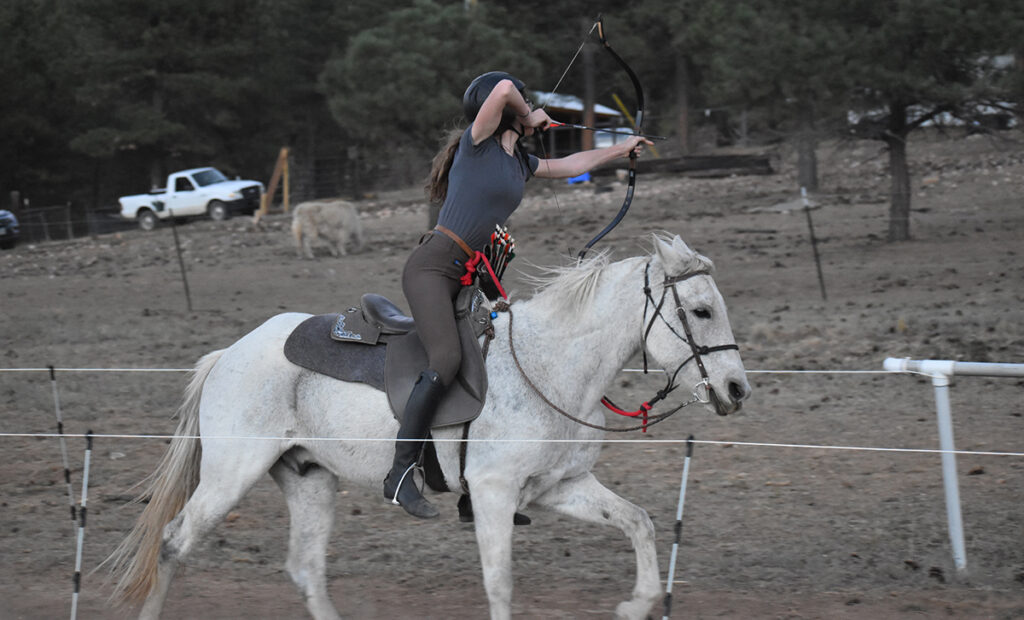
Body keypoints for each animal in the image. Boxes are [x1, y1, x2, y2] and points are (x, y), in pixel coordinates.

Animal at [105, 233, 753, 618]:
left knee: (306, 568)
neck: (547, 364)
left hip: (310, 478)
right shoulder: (493, 495)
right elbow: (500, 582)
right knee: (172, 543)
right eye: (700, 310)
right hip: (229, 475)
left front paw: (637, 603)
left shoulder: (560, 488)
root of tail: (230, 353)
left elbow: (639, 522)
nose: (737, 390)